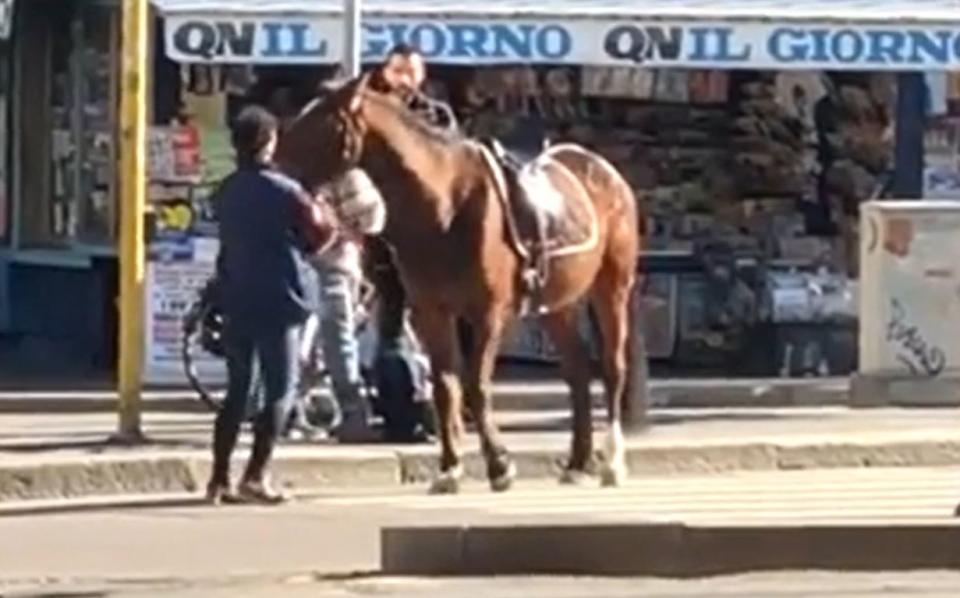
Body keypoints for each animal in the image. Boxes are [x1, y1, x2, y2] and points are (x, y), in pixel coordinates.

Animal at [278, 75, 652, 494]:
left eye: (321, 122)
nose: (273, 164)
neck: (445, 206)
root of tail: (604, 170)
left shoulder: (488, 313)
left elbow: (476, 385)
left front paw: (499, 465)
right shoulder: (430, 312)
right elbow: (445, 386)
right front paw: (449, 468)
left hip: (612, 285)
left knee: (613, 366)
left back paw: (611, 462)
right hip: (558, 303)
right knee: (577, 371)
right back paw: (577, 462)